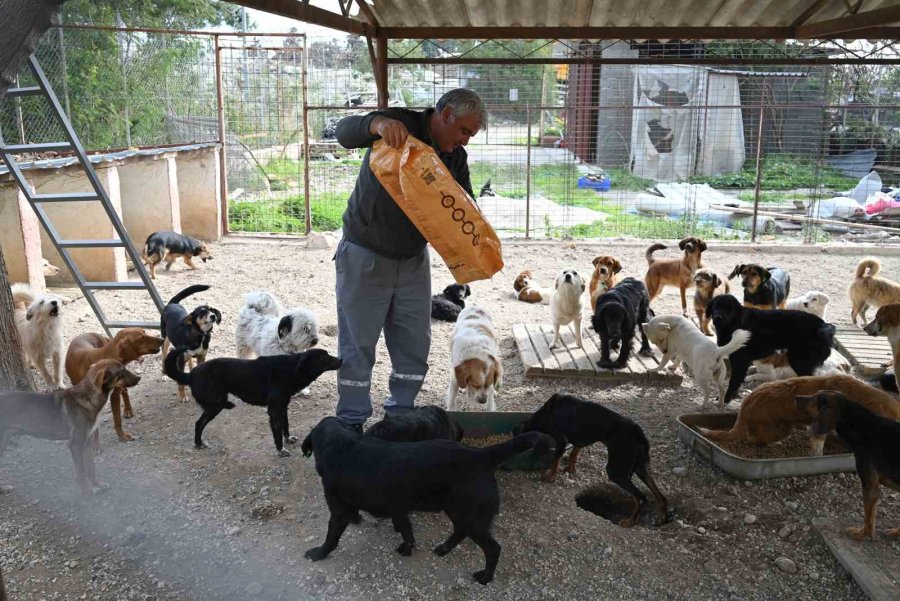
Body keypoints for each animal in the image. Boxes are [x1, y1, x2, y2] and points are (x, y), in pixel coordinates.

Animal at [0, 360, 141, 492]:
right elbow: (81, 472)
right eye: (121, 372)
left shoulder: (87, 443)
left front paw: (97, 484)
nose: (139, 378)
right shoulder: (75, 444)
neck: (88, 398)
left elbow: (91, 468)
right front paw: (87, 492)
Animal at [162, 344, 342, 452]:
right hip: (215, 405)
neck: (291, 368)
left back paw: (198, 442)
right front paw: (281, 450)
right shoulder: (274, 410)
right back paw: (199, 442)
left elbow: (286, 426)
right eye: (324, 357)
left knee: (199, 423)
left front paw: (288, 439)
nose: (341, 359)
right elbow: (277, 432)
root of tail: (191, 374)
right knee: (199, 423)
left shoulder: (283, 407)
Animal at [302, 418, 548, 580]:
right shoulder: (398, 508)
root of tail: (482, 455)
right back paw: (444, 549)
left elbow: (332, 537)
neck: (341, 443)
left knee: (493, 548)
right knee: (460, 532)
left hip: (472, 517)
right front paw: (407, 547)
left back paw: (485, 577)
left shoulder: (338, 510)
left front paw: (319, 553)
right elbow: (406, 530)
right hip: (459, 512)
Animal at [512, 392, 668, 524]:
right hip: (642, 468)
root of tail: (638, 432)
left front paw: (550, 477)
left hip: (616, 471)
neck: (547, 413)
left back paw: (629, 522)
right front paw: (571, 469)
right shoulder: (580, 440)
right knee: (660, 496)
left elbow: (555, 460)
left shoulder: (561, 440)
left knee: (642, 498)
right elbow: (573, 454)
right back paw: (662, 517)